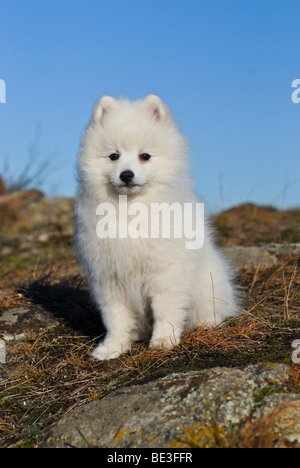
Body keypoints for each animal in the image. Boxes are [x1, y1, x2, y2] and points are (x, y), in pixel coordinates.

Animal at [75, 93, 239, 360]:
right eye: (113, 156)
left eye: (145, 156)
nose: (126, 175)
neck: (131, 211)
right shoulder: (109, 279)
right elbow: (115, 319)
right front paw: (112, 348)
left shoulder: (166, 274)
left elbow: (166, 311)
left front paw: (163, 341)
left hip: (208, 285)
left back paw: (207, 324)